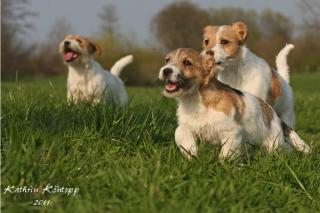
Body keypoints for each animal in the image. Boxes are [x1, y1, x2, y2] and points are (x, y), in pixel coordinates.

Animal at [159, 48, 310, 161]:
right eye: (167, 60)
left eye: (187, 62)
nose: (166, 70)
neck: (196, 99)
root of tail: (274, 115)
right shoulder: (188, 125)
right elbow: (180, 131)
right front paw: (192, 152)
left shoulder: (231, 131)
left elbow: (226, 153)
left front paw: (222, 166)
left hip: (273, 143)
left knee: (285, 149)